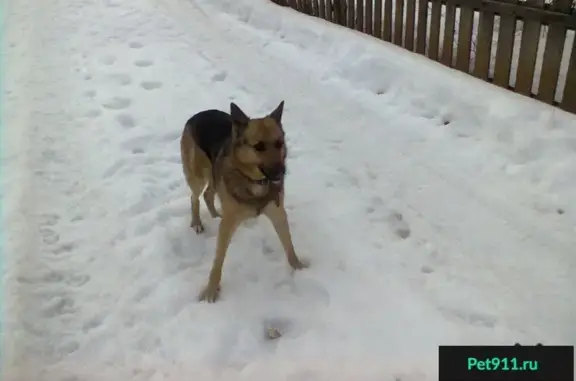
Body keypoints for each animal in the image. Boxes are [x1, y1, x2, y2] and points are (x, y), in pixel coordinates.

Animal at [180, 101, 308, 302]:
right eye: (259, 147)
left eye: (279, 143)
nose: (282, 172)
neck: (255, 182)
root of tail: (198, 114)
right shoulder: (228, 225)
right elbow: (218, 261)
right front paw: (211, 290)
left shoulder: (278, 212)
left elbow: (288, 243)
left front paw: (298, 267)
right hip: (197, 176)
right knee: (195, 197)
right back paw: (197, 222)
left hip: (214, 178)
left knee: (208, 194)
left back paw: (215, 214)